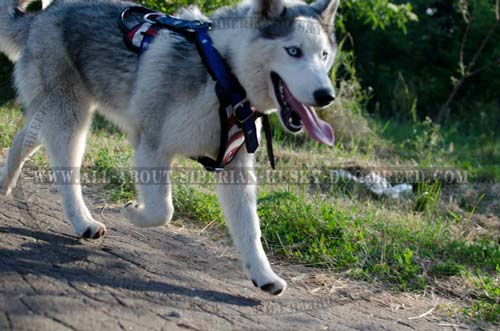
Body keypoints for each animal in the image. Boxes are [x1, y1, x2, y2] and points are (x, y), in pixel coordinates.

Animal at [0, 0, 340, 296]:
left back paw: (4, 185)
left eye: (323, 55)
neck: (223, 75)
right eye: (293, 51)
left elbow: (250, 230)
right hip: (69, 117)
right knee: (66, 172)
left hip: (49, 115)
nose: (326, 95)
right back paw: (83, 221)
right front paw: (133, 212)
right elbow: (164, 210)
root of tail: (44, 15)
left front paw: (263, 274)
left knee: (23, 139)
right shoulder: (151, 147)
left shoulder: (235, 167)